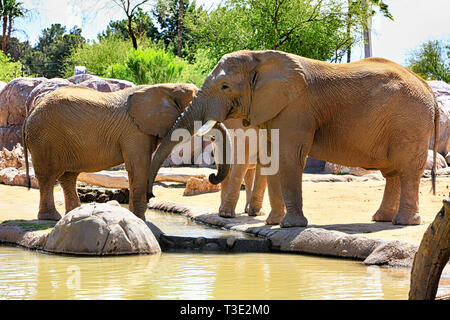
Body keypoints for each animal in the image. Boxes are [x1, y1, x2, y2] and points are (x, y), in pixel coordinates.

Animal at [23, 82, 207, 220]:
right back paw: (52, 218)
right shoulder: (133, 131)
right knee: (48, 177)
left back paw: (72, 213)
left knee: (68, 176)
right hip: (44, 139)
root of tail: (30, 111)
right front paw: (140, 220)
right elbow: (138, 167)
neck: (167, 87)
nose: (152, 196)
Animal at [149, 49, 440, 228]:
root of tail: (428, 88)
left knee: (408, 169)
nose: (150, 196)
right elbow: (272, 159)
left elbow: (288, 157)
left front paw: (290, 226)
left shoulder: (296, 109)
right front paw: (273, 223)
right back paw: (381, 219)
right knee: (392, 172)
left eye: (225, 86)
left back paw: (403, 223)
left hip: (410, 121)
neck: (261, 58)